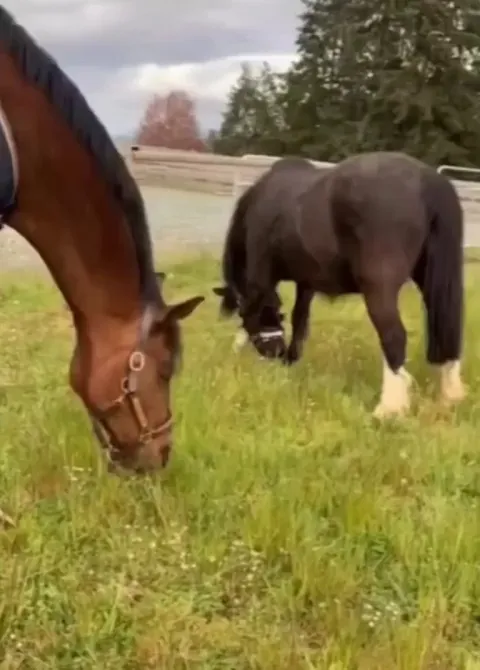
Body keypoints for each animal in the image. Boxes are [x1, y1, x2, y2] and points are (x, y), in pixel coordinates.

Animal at [213, 152, 465, 418]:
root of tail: (427, 180)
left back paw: (388, 408)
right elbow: (299, 320)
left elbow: (256, 309)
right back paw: (450, 397)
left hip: (379, 288)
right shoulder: (306, 282)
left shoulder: (261, 273)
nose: (276, 353)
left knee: (394, 337)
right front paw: (291, 362)